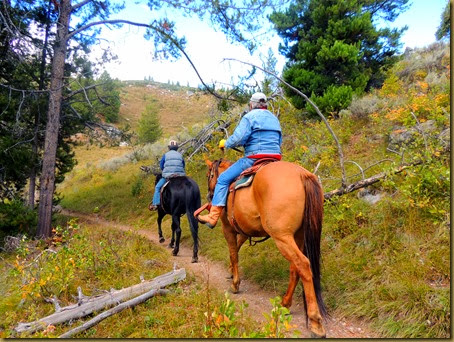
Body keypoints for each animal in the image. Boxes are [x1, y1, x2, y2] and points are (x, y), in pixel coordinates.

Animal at [205, 159, 326, 338]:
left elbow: (233, 252)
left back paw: (315, 322)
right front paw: (230, 271)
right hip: (298, 235)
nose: (209, 195)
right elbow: (237, 247)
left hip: (282, 237)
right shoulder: (244, 229)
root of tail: (302, 174)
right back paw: (285, 303)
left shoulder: (228, 228)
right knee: (295, 267)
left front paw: (235, 283)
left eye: (209, 175)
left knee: (303, 264)